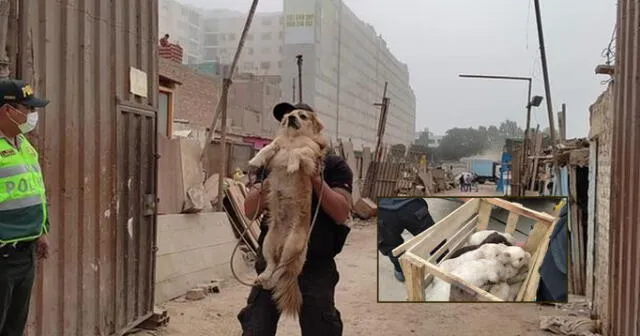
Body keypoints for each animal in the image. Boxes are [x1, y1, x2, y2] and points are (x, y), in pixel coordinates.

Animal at [246, 107, 328, 316]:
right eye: (288, 115)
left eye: (303, 116)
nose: (290, 117)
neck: (292, 138)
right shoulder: (277, 145)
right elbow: (269, 147)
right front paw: (256, 160)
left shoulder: (310, 153)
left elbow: (299, 152)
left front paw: (291, 164)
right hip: (267, 242)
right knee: (272, 265)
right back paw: (264, 277)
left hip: (292, 245)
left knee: (281, 271)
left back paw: (273, 280)